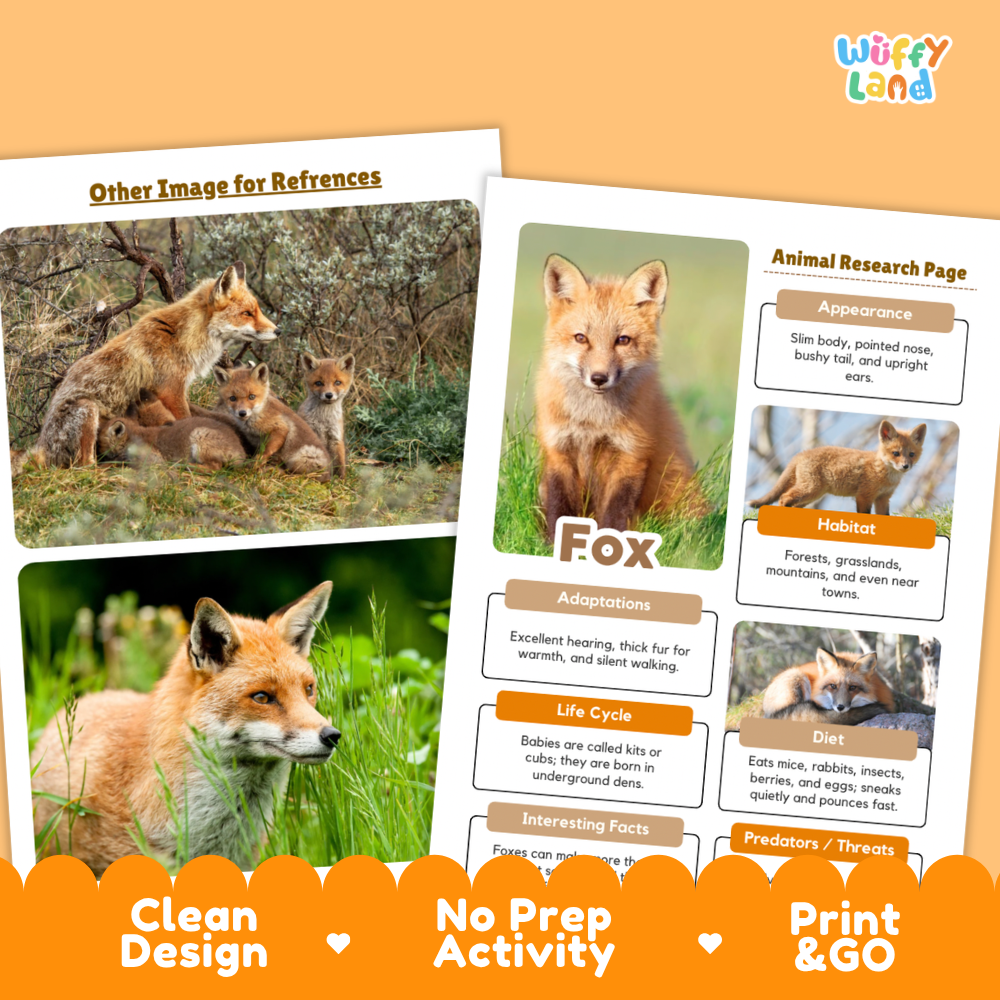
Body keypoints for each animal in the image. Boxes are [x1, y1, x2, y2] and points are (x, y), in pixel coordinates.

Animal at [97, 414, 249, 470]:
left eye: (99, 440)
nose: (97, 455)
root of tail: (242, 453)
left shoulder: (152, 460)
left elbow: (122, 463)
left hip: (199, 438)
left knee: (214, 468)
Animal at [535, 254, 701, 541]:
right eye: (581, 338)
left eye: (622, 340)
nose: (599, 378)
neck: (592, 422)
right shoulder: (558, 449)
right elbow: (560, 507)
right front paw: (553, 544)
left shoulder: (631, 454)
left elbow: (614, 513)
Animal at [748, 420, 927, 514]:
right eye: (896, 453)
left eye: (911, 454)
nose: (905, 466)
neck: (883, 473)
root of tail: (802, 453)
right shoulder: (864, 496)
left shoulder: (883, 498)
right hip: (810, 490)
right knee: (783, 497)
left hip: (812, 495)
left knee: (790, 502)